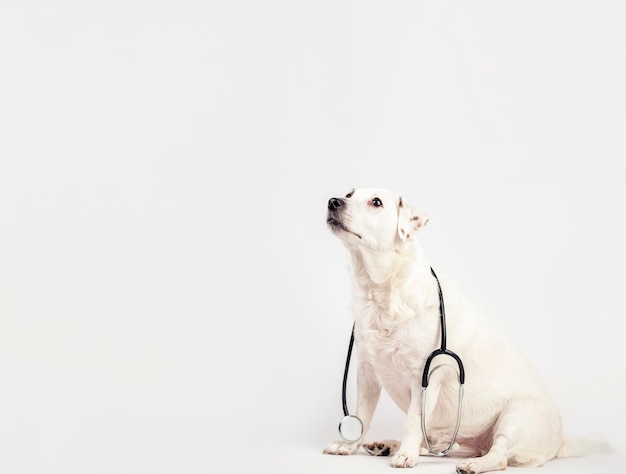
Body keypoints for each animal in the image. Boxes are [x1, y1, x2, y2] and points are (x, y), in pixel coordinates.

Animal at [324, 189, 604, 474]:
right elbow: (362, 414)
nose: (333, 201)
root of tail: (560, 442)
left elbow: (413, 421)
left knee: (500, 455)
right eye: (349, 194)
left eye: (376, 202)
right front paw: (348, 445)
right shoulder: (367, 372)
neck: (382, 292)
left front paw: (406, 456)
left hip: (516, 415)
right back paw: (387, 445)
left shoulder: (425, 376)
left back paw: (472, 463)